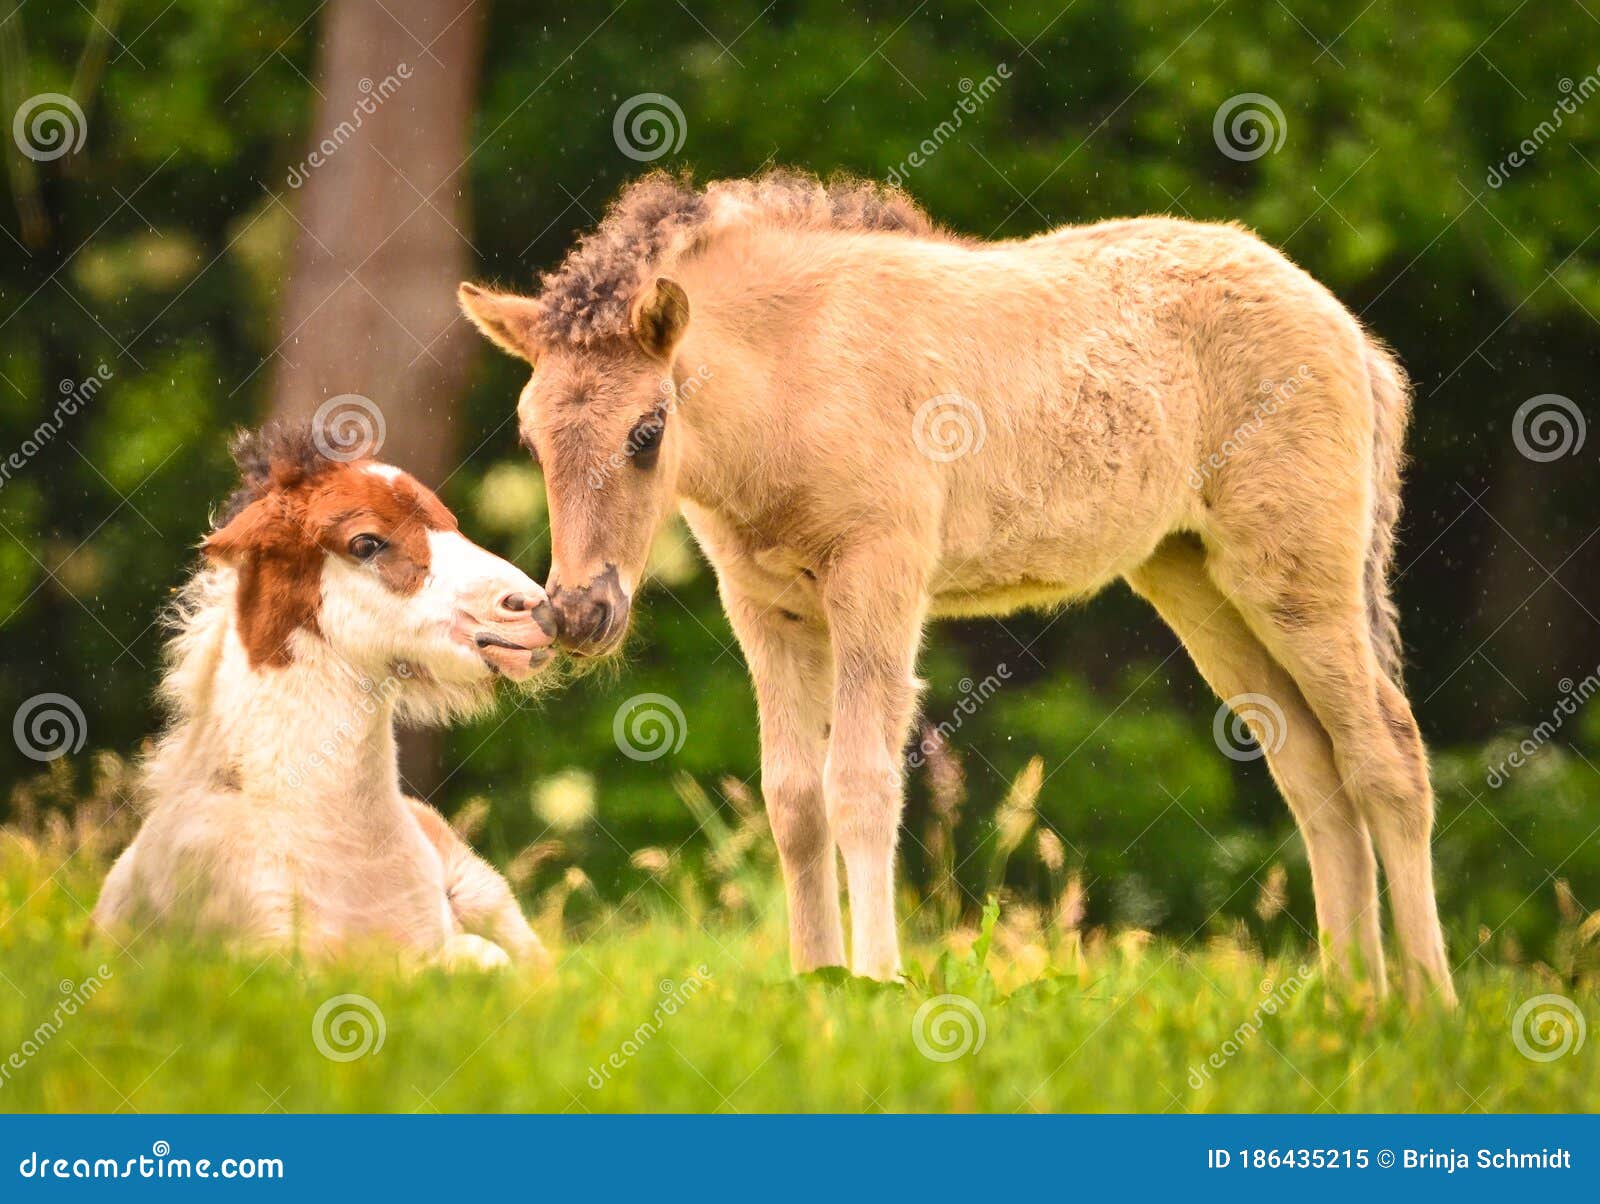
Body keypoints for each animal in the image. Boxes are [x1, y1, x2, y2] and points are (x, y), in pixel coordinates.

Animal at [460, 167, 1452, 999]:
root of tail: (1348, 331)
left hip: (1297, 575)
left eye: (648, 430)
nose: (579, 612)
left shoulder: (880, 577)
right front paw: (815, 983)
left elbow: (861, 781)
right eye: (529, 435)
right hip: (1197, 583)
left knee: (1386, 756)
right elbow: (792, 797)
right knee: (1313, 770)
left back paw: (1426, 1011)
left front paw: (877, 984)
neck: (793, 374)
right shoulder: (768, 607)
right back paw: (1349, 1002)